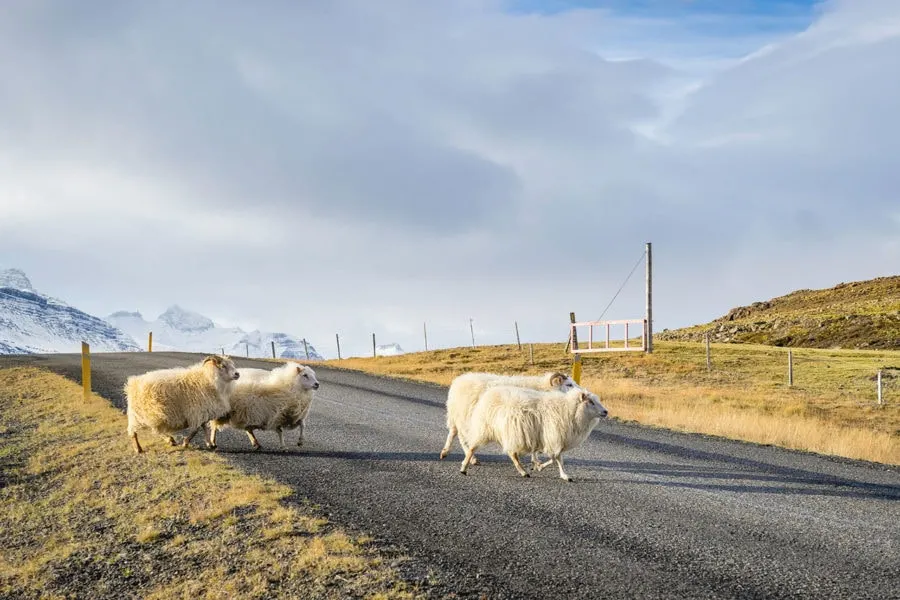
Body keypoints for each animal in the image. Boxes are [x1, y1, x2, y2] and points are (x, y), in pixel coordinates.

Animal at [442, 370, 584, 464]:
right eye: (569, 384)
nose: (583, 392)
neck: (543, 389)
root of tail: (458, 381)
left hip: (461, 416)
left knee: (455, 432)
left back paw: (448, 452)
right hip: (463, 416)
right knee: (460, 436)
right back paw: (469, 457)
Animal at [458, 384, 612, 482]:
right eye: (591, 402)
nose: (606, 412)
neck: (569, 409)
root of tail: (488, 395)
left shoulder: (554, 438)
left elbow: (557, 458)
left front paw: (561, 474)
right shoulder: (554, 436)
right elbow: (556, 458)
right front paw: (543, 468)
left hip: (509, 432)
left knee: (511, 452)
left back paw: (523, 471)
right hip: (487, 429)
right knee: (473, 448)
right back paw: (464, 468)